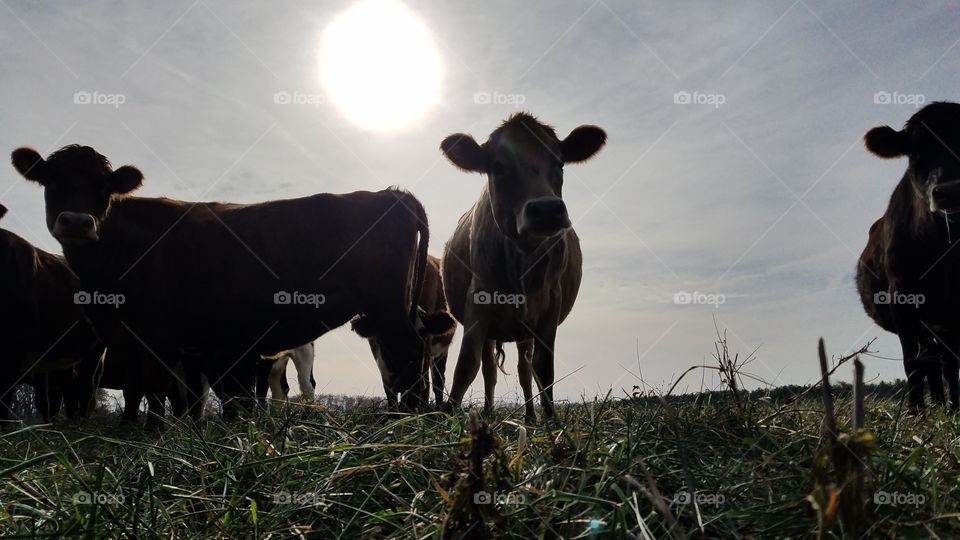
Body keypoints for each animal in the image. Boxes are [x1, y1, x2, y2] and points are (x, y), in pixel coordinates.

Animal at [11, 146, 430, 424]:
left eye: (103, 188)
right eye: (51, 181)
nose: (77, 222)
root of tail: (392, 193)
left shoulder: (158, 336)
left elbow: (154, 391)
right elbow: (140, 391)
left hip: (389, 308)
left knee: (411, 352)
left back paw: (411, 419)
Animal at [352, 255, 458, 408]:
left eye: (423, 333)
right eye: (383, 338)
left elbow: (421, 388)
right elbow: (389, 391)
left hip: (441, 352)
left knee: (437, 382)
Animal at [438, 112, 604, 422]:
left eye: (559, 162)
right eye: (497, 166)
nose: (547, 210)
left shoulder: (550, 304)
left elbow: (544, 368)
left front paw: (552, 421)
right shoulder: (477, 299)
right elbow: (467, 365)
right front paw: (448, 420)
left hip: (524, 329)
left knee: (525, 370)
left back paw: (530, 417)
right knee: (489, 370)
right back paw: (489, 413)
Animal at [860, 101, 960, 414]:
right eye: (915, 151)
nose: (951, 190)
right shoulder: (902, 299)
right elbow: (912, 364)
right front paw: (916, 414)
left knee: (943, 363)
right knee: (930, 364)